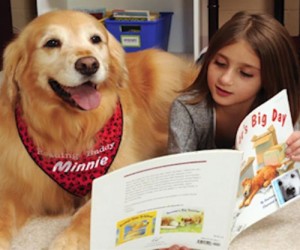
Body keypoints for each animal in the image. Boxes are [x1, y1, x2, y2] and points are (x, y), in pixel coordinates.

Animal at [0, 9, 199, 248]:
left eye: (95, 39)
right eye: (52, 43)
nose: (88, 64)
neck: (71, 130)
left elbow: (86, 214)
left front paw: (66, 241)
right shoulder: (15, 185)